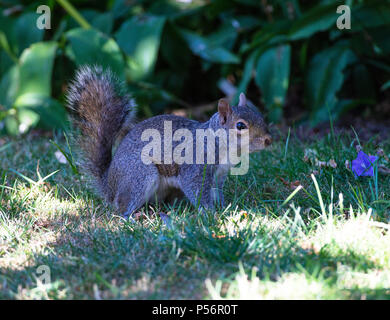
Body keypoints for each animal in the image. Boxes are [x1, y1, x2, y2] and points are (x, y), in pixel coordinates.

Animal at [66, 66, 272, 219]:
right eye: (240, 125)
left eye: (258, 114)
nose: (268, 140)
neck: (218, 143)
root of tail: (109, 185)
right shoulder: (195, 168)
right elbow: (197, 189)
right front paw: (209, 212)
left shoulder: (219, 175)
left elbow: (217, 192)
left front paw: (223, 207)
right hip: (139, 176)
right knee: (121, 206)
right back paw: (131, 217)